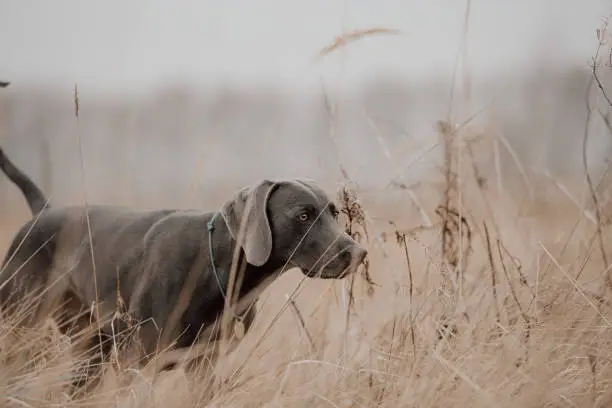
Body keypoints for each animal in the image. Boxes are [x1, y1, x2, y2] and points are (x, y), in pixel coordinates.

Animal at [0, 147, 368, 392]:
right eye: (303, 215)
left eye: (334, 213)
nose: (359, 253)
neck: (216, 270)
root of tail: (43, 212)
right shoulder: (136, 363)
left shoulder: (203, 366)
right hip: (18, 321)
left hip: (90, 351)